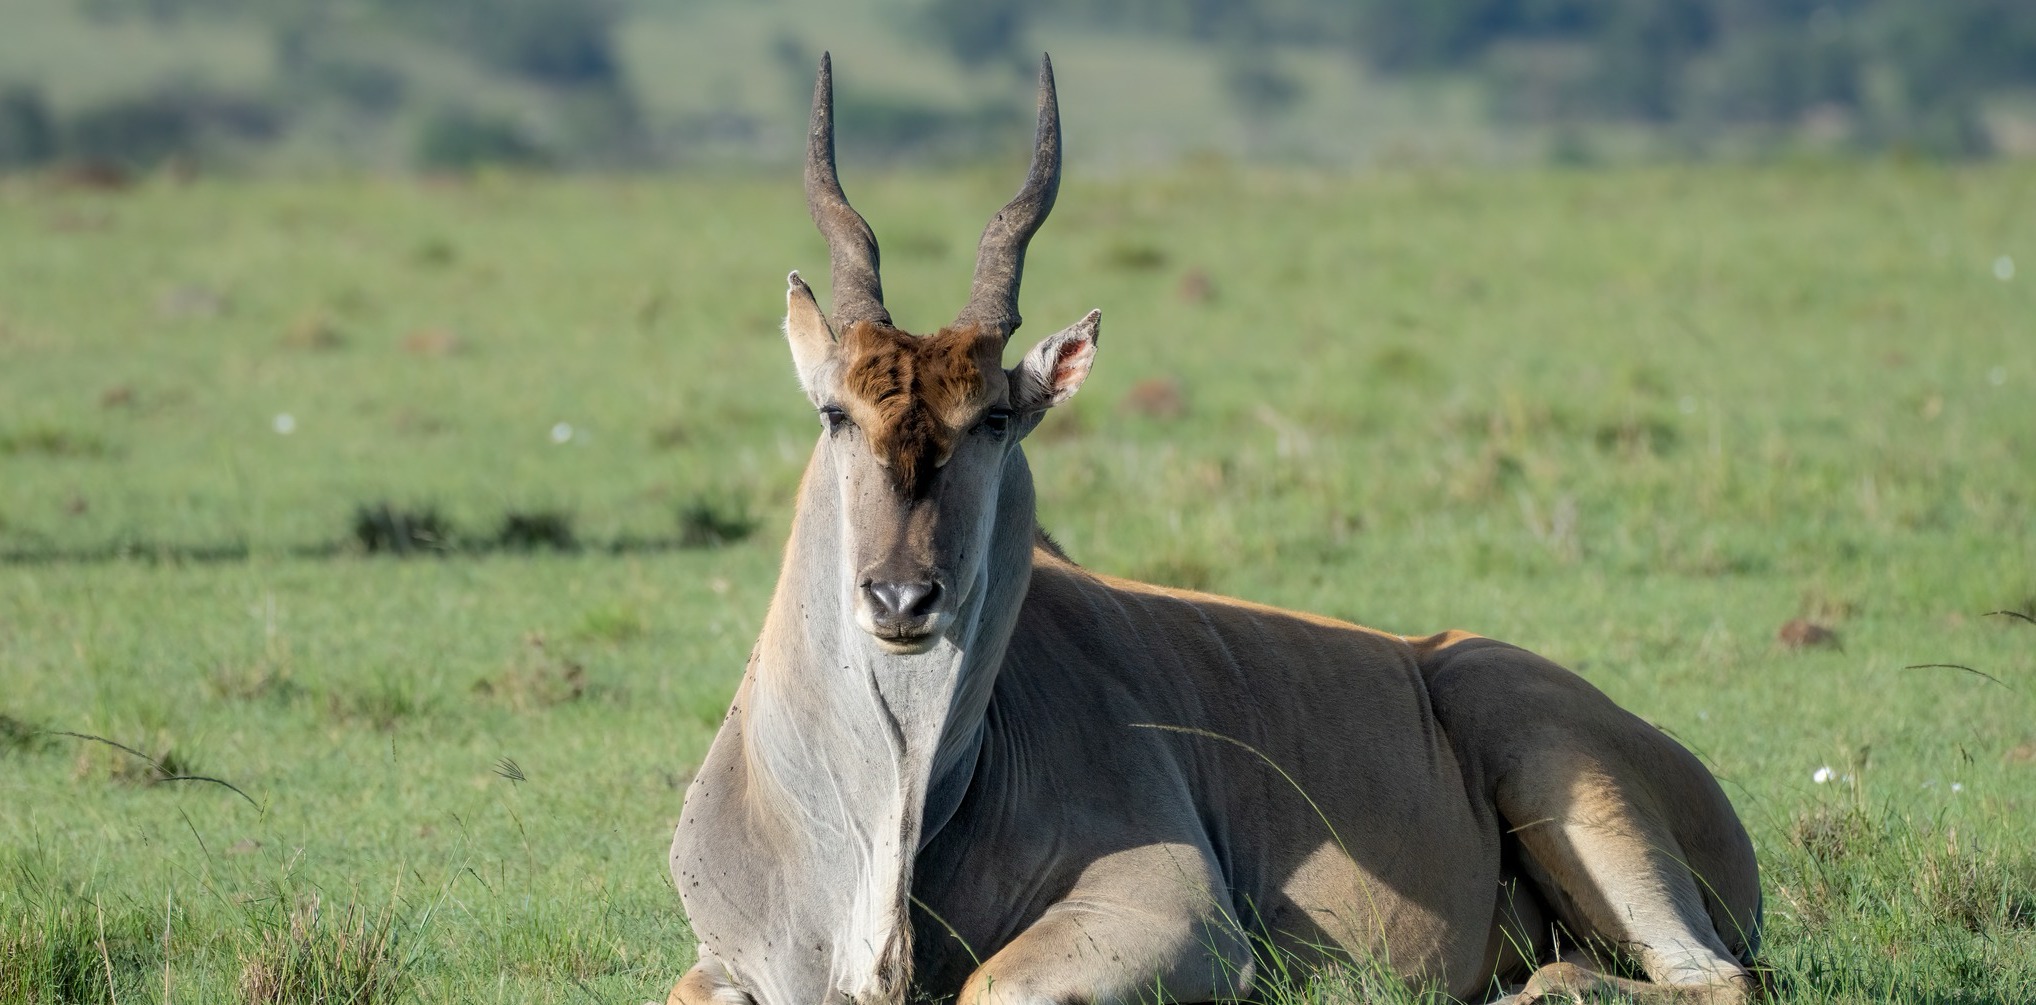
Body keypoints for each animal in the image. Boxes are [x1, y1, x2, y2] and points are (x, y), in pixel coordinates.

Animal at [663, 52, 1750, 1004]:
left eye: (994, 421)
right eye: (835, 413)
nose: (901, 597)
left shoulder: (1173, 917)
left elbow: (991, 984)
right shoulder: (723, 965)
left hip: (1556, 767)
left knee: (1708, 977)